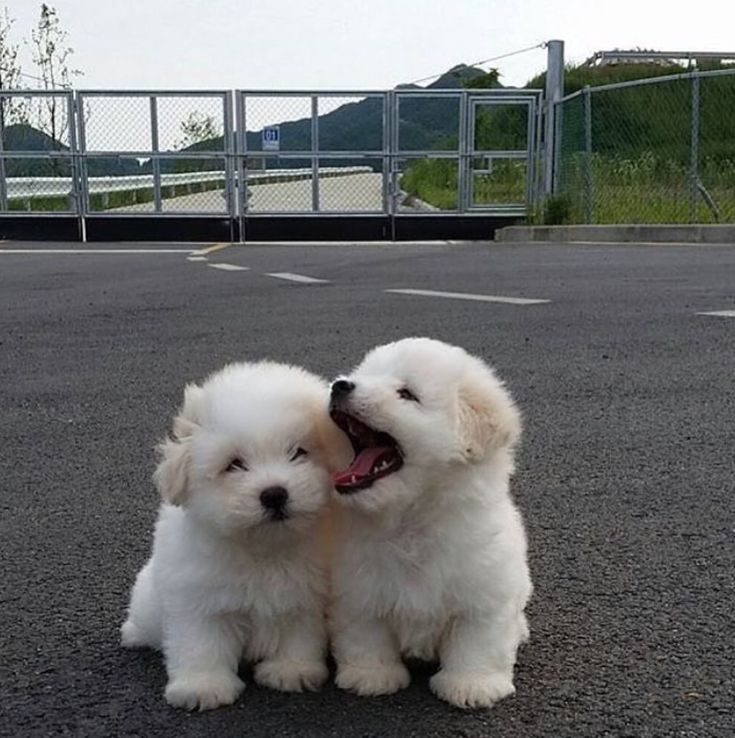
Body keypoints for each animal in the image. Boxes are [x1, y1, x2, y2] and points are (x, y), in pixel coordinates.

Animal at [121, 360, 350, 708]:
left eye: (298, 452)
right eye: (234, 465)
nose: (274, 494)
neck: (262, 549)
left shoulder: (305, 596)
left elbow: (298, 635)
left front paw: (291, 670)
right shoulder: (198, 599)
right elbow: (200, 644)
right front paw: (203, 687)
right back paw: (133, 633)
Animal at [330, 338, 532, 708]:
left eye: (407, 394)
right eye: (363, 374)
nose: (340, 386)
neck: (412, 518)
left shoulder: (483, 594)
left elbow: (477, 643)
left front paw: (472, 685)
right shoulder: (358, 589)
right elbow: (366, 635)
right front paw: (371, 676)